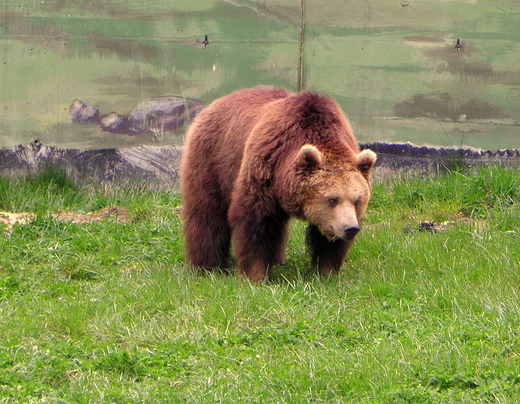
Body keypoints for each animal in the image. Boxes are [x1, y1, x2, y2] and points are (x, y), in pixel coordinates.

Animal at [179, 86, 374, 280]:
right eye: (332, 199)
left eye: (357, 200)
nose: (350, 228)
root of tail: (212, 105)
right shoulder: (266, 165)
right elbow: (255, 222)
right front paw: (256, 274)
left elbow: (327, 242)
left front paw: (326, 272)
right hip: (214, 159)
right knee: (207, 213)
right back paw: (207, 265)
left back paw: (277, 258)